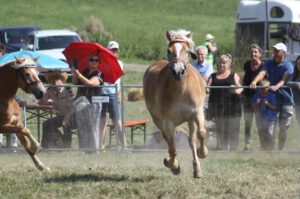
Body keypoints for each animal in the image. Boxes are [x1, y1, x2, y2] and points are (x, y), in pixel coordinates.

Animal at [144, 29, 207, 177]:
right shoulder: (168, 121)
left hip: (190, 119)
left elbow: (201, 133)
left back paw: (196, 168)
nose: (178, 71)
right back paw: (172, 163)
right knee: (167, 139)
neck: (181, 90)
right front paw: (173, 165)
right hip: (158, 120)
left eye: (187, 51)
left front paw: (202, 153)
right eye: (169, 50)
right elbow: (172, 145)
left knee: (191, 140)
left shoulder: (197, 112)